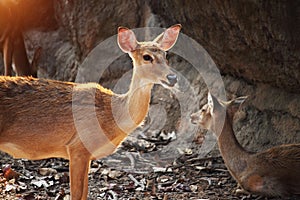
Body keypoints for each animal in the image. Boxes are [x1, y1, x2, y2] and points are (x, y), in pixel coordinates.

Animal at [0, 24, 182, 200]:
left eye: (166, 55)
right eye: (147, 57)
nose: (172, 77)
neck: (112, 116)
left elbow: (84, 193)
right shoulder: (78, 147)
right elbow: (76, 195)